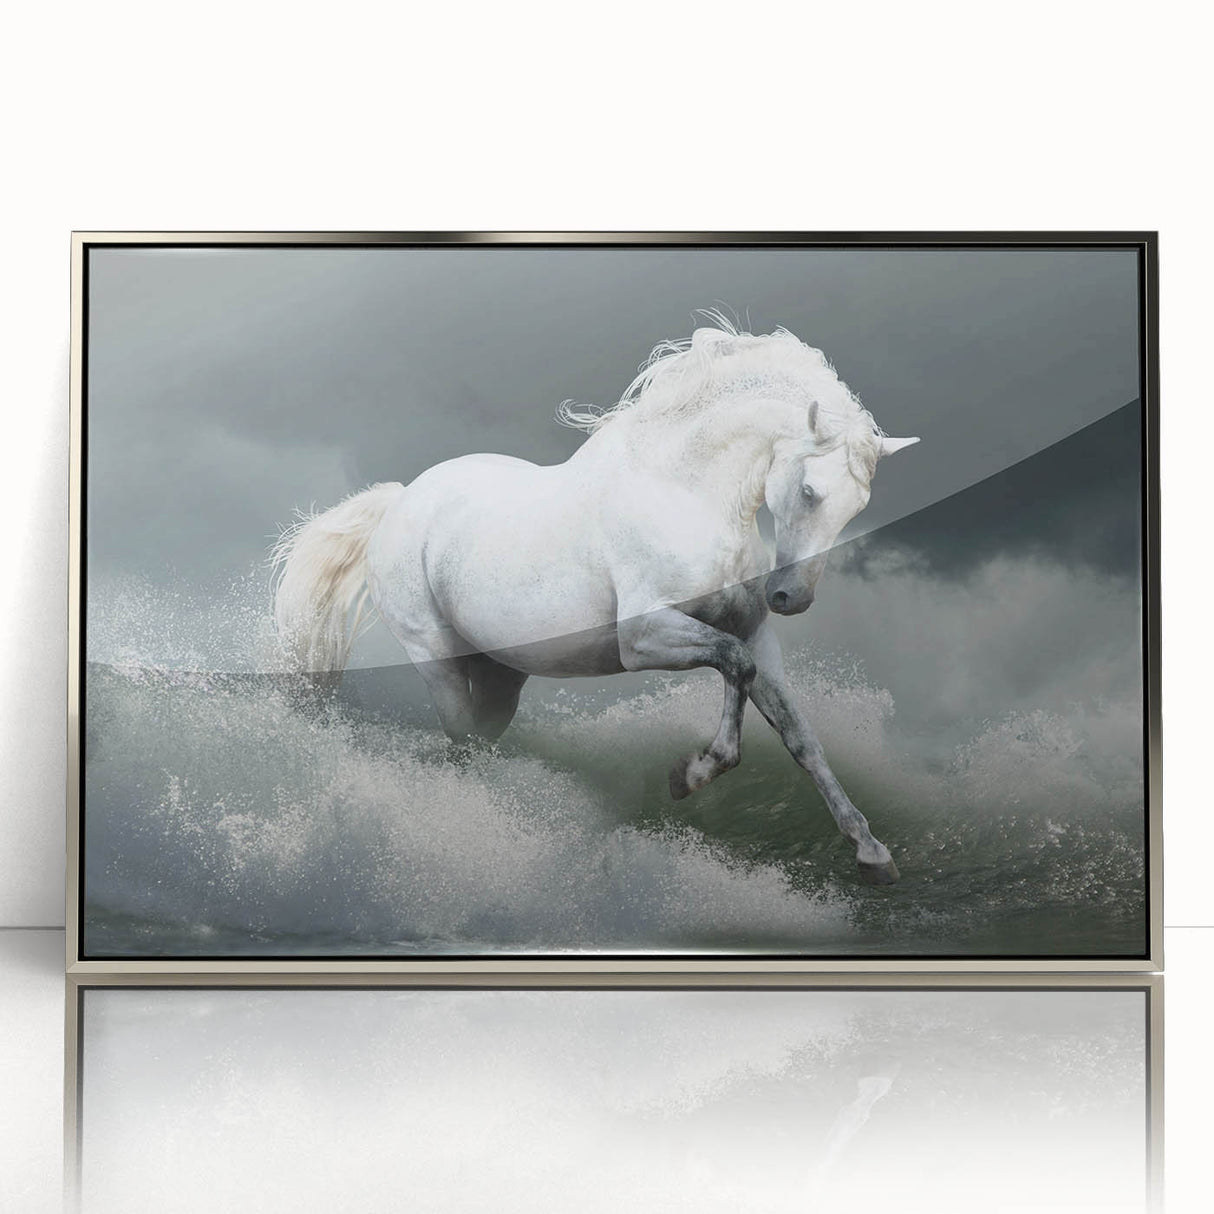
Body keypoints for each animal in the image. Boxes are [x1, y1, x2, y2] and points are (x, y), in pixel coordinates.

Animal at [272, 318, 919, 884]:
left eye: (858, 507)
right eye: (809, 491)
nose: (790, 597)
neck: (684, 494)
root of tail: (400, 500)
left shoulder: (758, 636)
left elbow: (798, 734)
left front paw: (872, 853)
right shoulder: (642, 639)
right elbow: (734, 666)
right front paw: (689, 775)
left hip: (502, 675)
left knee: (480, 737)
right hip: (436, 657)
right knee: (459, 737)